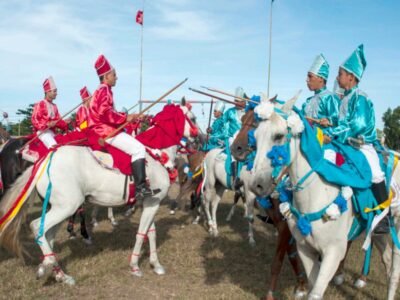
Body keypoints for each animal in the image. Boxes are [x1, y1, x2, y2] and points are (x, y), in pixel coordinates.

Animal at [250, 95, 400, 300]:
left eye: (278, 136)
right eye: (255, 138)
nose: (256, 185)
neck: (316, 195)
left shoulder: (333, 253)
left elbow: (315, 292)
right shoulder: (305, 249)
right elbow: (312, 284)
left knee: (394, 270)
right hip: (377, 231)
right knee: (387, 260)